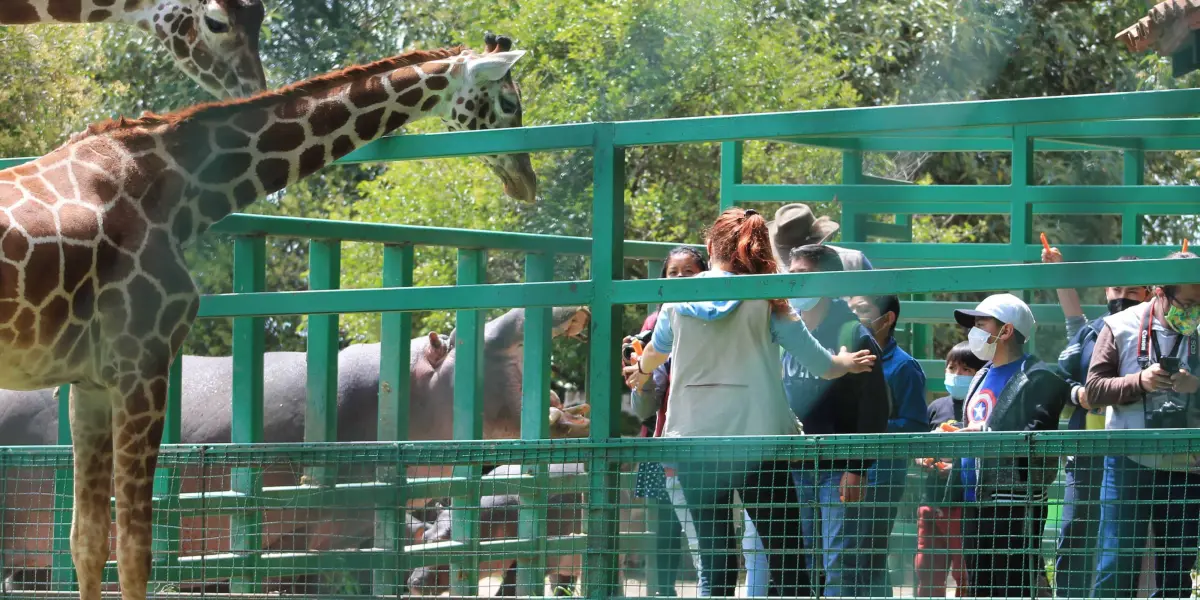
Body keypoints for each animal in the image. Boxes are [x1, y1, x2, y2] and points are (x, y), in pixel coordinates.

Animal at [0, 34, 537, 600]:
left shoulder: (91, 383)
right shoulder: (142, 363)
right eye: (509, 101)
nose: (526, 179)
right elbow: (134, 550)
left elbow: (87, 542)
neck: (174, 188)